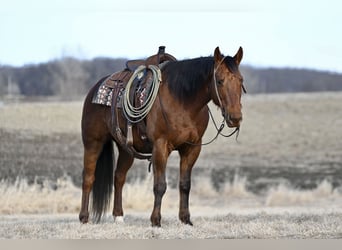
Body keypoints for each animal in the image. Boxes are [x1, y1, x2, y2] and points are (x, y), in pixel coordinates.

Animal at [79, 46, 246, 227]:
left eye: (241, 80)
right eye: (220, 80)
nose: (235, 118)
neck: (182, 100)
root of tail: (95, 87)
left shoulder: (192, 148)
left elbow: (185, 185)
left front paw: (186, 219)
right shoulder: (161, 146)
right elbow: (160, 185)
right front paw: (156, 221)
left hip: (126, 149)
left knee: (119, 177)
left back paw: (118, 216)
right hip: (93, 142)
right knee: (88, 177)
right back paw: (84, 217)